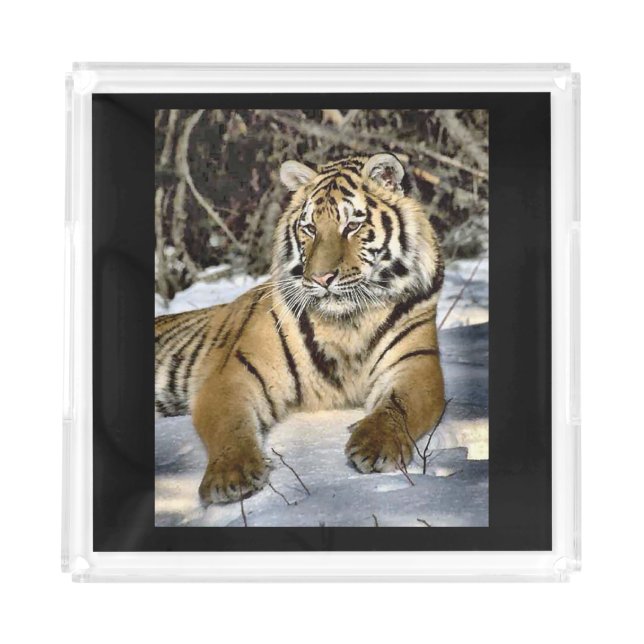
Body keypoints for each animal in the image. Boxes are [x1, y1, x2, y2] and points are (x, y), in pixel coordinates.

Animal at [155, 153, 445, 503]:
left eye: (352, 226)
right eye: (309, 228)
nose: (321, 278)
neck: (347, 322)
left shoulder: (416, 365)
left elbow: (398, 407)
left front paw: (375, 445)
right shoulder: (234, 374)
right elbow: (231, 425)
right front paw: (231, 476)